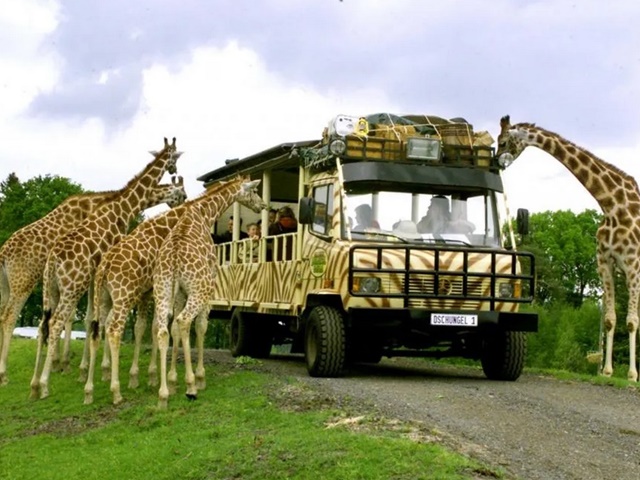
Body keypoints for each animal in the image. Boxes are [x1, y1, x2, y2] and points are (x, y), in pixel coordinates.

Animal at [31, 137, 184, 400]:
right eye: (176, 158)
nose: (183, 202)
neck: (123, 207)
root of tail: (52, 262)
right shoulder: (102, 270)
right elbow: (101, 319)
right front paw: (101, 371)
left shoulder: (98, 274)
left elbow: (96, 318)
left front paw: (94, 371)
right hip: (72, 286)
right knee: (56, 322)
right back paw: (44, 384)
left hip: (49, 290)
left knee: (43, 324)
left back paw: (33, 383)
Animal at [154, 174, 266, 406]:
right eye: (253, 190)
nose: (262, 205)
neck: (205, 214)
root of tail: (174, 258)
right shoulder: (209, 287)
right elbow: (201, 326)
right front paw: (199, 378)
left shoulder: (179, 293)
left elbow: (175, 330)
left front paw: (172, 380)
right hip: (199, 289)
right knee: (184, 321)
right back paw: (191, 387)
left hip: (162, 289)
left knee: (164, 329)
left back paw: (163, 395)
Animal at [498, 114, 640, 380]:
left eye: (502, 141)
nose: (497, 161)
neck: (613, 205)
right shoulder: (605, 262)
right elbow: (609, 319)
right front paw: (606, 371)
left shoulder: (632, 264)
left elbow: (632, 321)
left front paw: (632, 375)